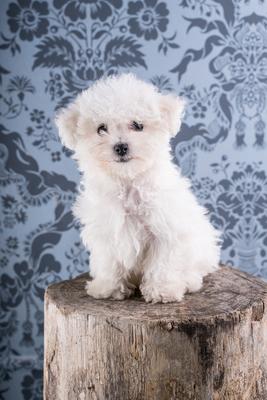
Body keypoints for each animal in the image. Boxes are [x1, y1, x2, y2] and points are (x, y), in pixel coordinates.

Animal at [55, 73, 221, 304]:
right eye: (101, 129)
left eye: (138, 125)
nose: (121, 147)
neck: (128, 181)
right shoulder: (106, 229)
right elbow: (108, 260)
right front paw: (108, 287)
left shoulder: (165, 229)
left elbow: (163, 263)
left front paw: (162, 290)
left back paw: (188, 281)